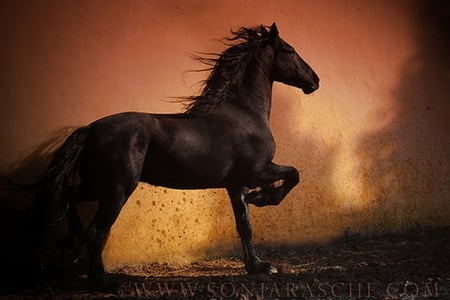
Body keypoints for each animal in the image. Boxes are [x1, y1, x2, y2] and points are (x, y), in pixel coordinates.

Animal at [37, 23, 318, 288]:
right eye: (289, 50)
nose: (315, 80)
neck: (244, 114)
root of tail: (90, 129)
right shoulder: (257, 171)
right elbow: (294, 175)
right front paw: (262, 198)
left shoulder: (236, 183)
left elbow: (245, 225)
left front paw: (258, 266)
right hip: (117, 189)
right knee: (96, 231)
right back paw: (101, 282)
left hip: (98, 186)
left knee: (69, 197)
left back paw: (69, 249)